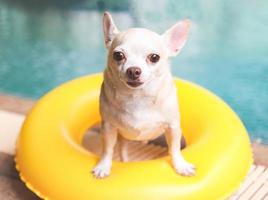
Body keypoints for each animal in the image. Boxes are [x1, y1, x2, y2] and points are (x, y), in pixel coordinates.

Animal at [91, 12, 195, 178]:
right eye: (118, 55)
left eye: (154, 57)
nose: (133, 70)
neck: (138, 97)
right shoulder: (108, 127)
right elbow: (107, 150)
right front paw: (103, 166)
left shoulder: (172, 127)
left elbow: (174, 148)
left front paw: (180, 165)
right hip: (123, 138)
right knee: (122, 149)